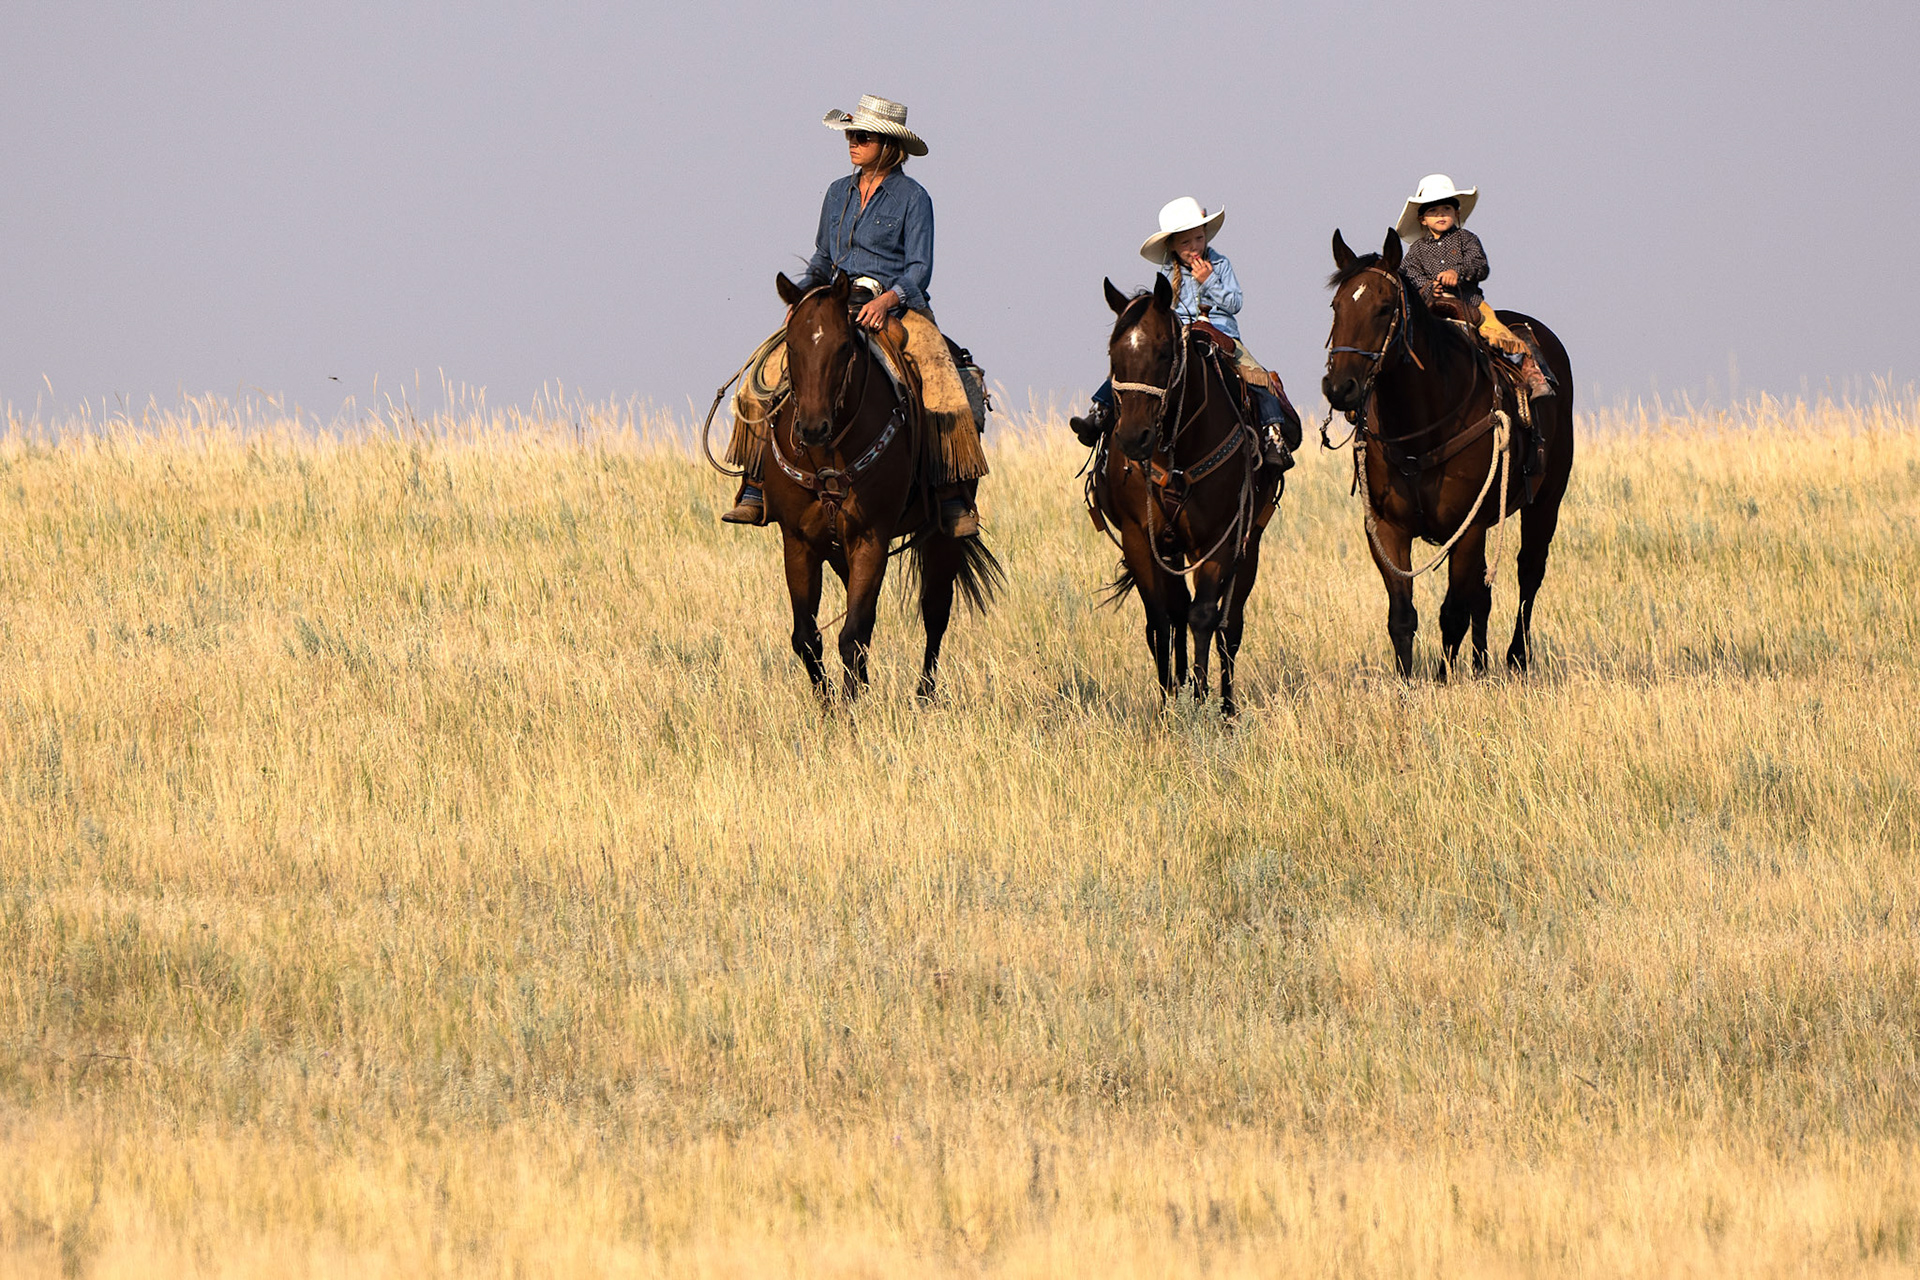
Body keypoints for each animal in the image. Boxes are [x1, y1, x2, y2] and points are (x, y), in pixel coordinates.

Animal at [764, 269, 1002, 701]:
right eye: (790, 344)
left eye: (843, 346)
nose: (812, 427)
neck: (829, 454)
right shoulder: (798, 541)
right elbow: (807, 637)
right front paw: (828, 707)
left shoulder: (870, 538)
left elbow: (853, 634)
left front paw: (851, 708)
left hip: (940, 537)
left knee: (935, 611)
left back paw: (924, 697)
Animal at [1086, 273, 1281, 716]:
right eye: (1113, 355)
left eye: (1163, 353)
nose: (1132, 438)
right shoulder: (1139, 536)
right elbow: (1160, 620)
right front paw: (1166, 706)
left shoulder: (1220, 540)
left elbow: (1204, 616)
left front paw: (1204, 700)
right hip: (1172, 547)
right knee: (1176, 613)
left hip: (1249, 545)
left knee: (1230, 624)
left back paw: (1226, 707)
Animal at [1322, 228, 1574, 680]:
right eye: (1337, 306)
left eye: (1384, 308)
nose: (1340, 387)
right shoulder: (1385, 528)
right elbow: (1403, 616)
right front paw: (1406, 684)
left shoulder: (1468, 527)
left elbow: (1453, 612)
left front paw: (1443, 680)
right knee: (1483, 595)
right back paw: (1480, 663)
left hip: (1547, 501)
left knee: (1528, 573)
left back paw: (1515, 658)